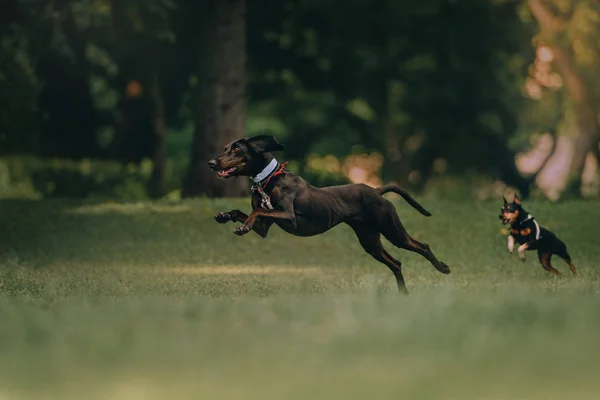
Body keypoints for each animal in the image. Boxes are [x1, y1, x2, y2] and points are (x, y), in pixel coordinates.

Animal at [209, 135, 448, 294]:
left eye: (237, 149)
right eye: (225, 148)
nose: (211, 162)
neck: (268, 179)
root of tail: (376, 191)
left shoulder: (289, 217)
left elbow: (257, 210)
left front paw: (243, 227)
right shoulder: (264, 228)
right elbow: (246, 211)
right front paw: (225, 216)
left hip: (392, 230)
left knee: (422, 246)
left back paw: (442, 267)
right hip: (370, 240)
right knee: (396, 263)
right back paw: (403, 294)